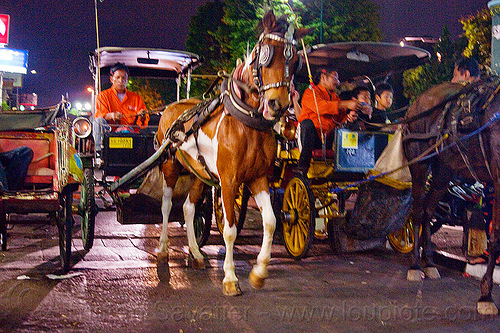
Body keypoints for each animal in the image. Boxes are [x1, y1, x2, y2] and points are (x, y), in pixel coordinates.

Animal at [154, 10, 308, 294]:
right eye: (266, 54)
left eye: (295, 61)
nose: (278, 105)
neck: (246, 122)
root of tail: (172, 107)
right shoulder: (228, 181)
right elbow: (229, 230)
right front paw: (230, 278)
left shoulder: (258, 179)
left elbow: (271, 221)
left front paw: (259, 272)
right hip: (170, 166)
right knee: (167, 205)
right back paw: (162, 250)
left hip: (200, 174)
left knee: (189, 208)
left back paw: (196, 254)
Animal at [402, 80, 500, 314]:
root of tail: (417, 102)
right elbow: (495, 237)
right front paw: (486, 295)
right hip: (419, 164)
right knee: (417, 211)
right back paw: (415, 264)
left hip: (444, 170)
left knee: (428, 210)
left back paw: (429, 262)